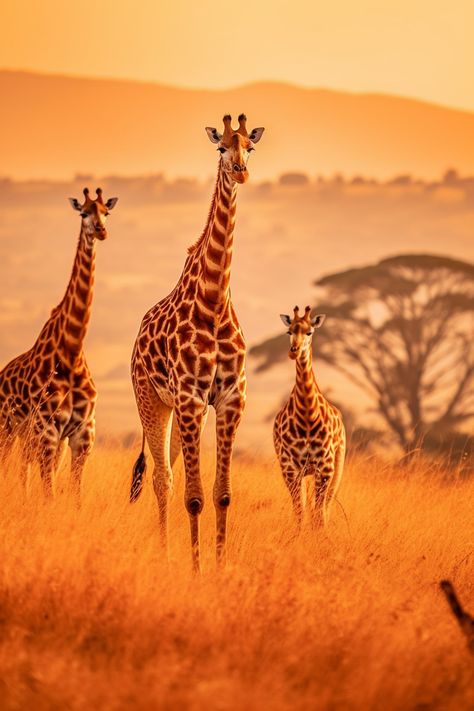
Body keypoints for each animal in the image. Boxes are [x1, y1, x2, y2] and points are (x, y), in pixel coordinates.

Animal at [0, 189, 118, 500]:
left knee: (22, 468)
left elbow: (75, 495)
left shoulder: (81, 434)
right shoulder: (48, 431)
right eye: (83, 213)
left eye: (106, 212)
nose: (101, 231)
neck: (72, 351)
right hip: (8, 428)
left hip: (27, 436)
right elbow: (50, 493)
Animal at [131, 112, 262, 572]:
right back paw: (167, 554)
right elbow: (194, 497)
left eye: (250, 147)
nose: (240, 172)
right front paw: (196, 568)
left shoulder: (229, 398)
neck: (214, 301)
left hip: (184, 411)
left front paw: (219, 568)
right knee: (162, 478)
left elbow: (222, 495)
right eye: (221, 147)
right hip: (152, 400)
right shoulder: (189, 396)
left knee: (166, 472)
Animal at [272, 308, 346, 532]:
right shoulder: (289, 467)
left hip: (337, 465)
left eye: (310, 332)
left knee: (326, 506)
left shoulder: (326, 466)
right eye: (289, 331)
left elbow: (318, 514)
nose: (293, 351)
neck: (306, 416)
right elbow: (300, 512)